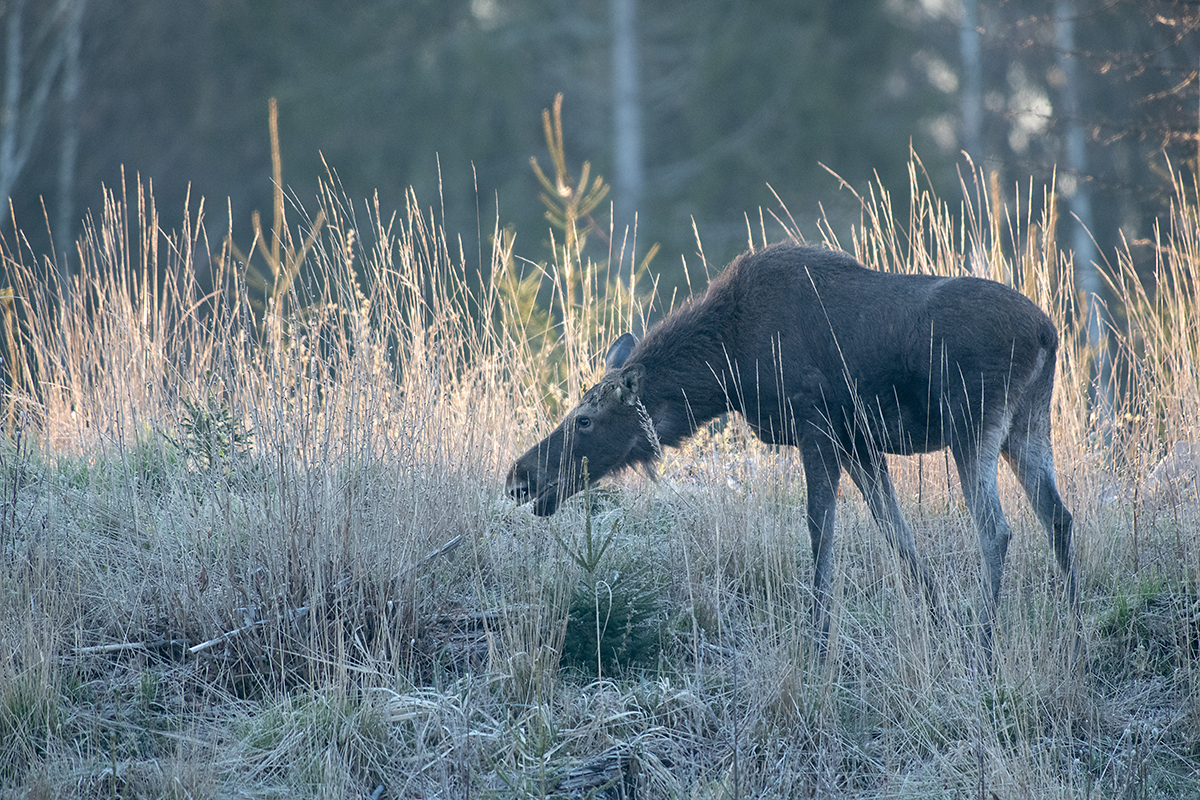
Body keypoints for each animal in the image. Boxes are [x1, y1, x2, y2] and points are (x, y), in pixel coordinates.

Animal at [506, 245, 1080, 657]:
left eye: (584, 420)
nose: (519, 478)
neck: (727, 366)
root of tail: (1046, 333)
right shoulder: (857, 440)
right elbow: (896, 532)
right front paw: (937, 620)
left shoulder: (815, 422)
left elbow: (820, 527)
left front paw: (817, 640)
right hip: (1026, 422)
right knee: (1058, 514)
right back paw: (1071, 628)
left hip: (973, 422)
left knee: (996, 528)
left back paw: (984, 643)